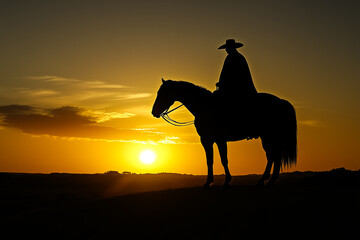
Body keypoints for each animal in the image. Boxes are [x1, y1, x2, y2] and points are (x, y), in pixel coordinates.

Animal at [150, 79, 296, 188]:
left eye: (162, 92)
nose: (154, 112)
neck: (204, 106)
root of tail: (282, 102)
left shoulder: (217, 140)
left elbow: (223, 160)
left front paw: (225, 181)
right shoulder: (208, 140)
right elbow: (210, 160)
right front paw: (209, 182)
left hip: (269, 136)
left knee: (274, 155)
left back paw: (268, 180)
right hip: (268, 137)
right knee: (273, 156)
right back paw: (267, 180)